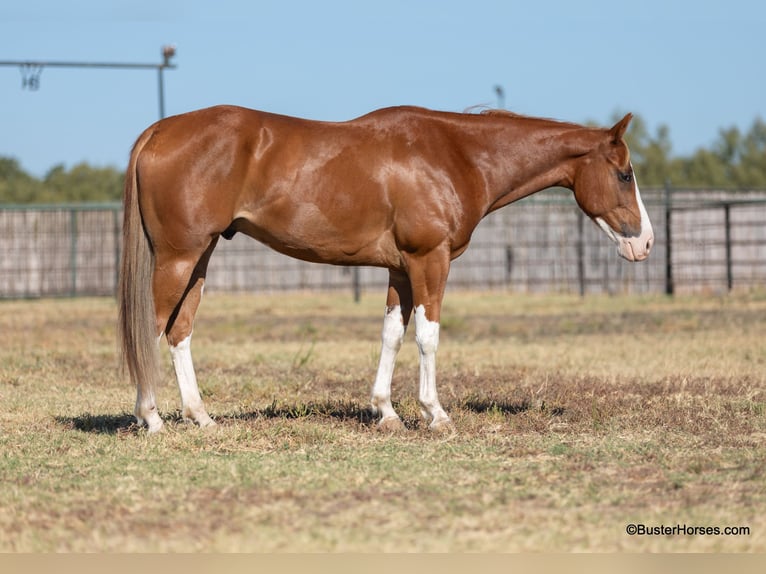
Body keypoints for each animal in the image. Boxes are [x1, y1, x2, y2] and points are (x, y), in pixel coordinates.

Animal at [118, 105, 654, 434]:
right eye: (625, 174)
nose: (645, 243)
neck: (455, 155)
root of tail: (162, 129)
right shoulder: (429, 260)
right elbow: (428, 336)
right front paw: (435, 414)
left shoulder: (400, 270)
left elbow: (392, 336)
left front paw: (386, 412)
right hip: (179, 256)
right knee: (152, 327)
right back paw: (152, 419)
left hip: (200, 257)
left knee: (180, 331)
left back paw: (200, 417)